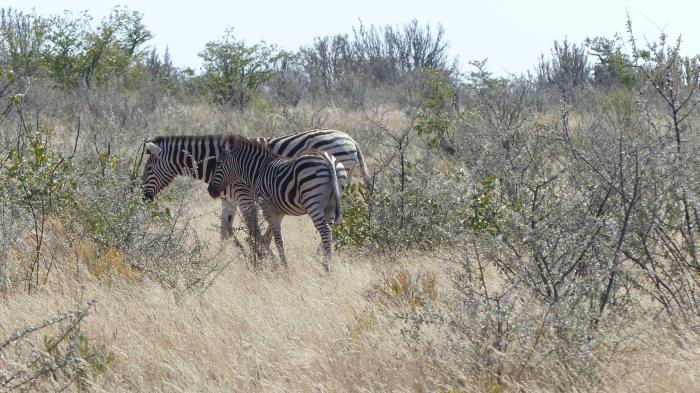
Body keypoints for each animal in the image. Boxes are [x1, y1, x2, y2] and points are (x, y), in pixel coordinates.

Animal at [142, 130, 372, 248]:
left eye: (148, 168)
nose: (144, 198)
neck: (217, 164)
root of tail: (351, 139)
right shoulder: (228, 201)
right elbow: (224, 233)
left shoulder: (244, 197)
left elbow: (252, 230)